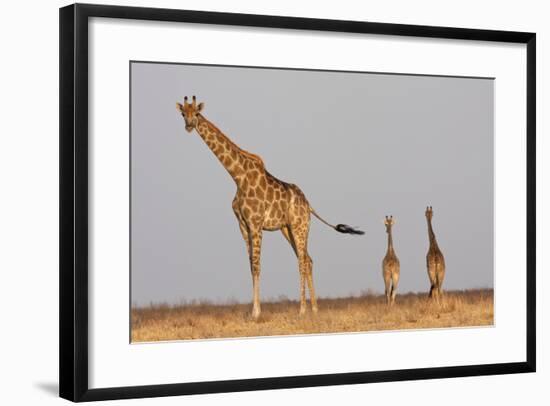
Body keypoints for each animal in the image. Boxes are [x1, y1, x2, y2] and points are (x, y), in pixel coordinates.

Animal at [178, 96, 366, 318]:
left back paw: (302, 309)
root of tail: (309, 205)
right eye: (183, 113)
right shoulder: (243, 225)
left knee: (302, 261)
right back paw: (314, 309)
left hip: (300, 226)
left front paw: (256, 312)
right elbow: (251, 266)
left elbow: (257, 265)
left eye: (197, 113)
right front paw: (254, 310)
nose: (189, 126)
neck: (238, 177)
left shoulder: (256, 223)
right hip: (287, 229)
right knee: (308, 259)